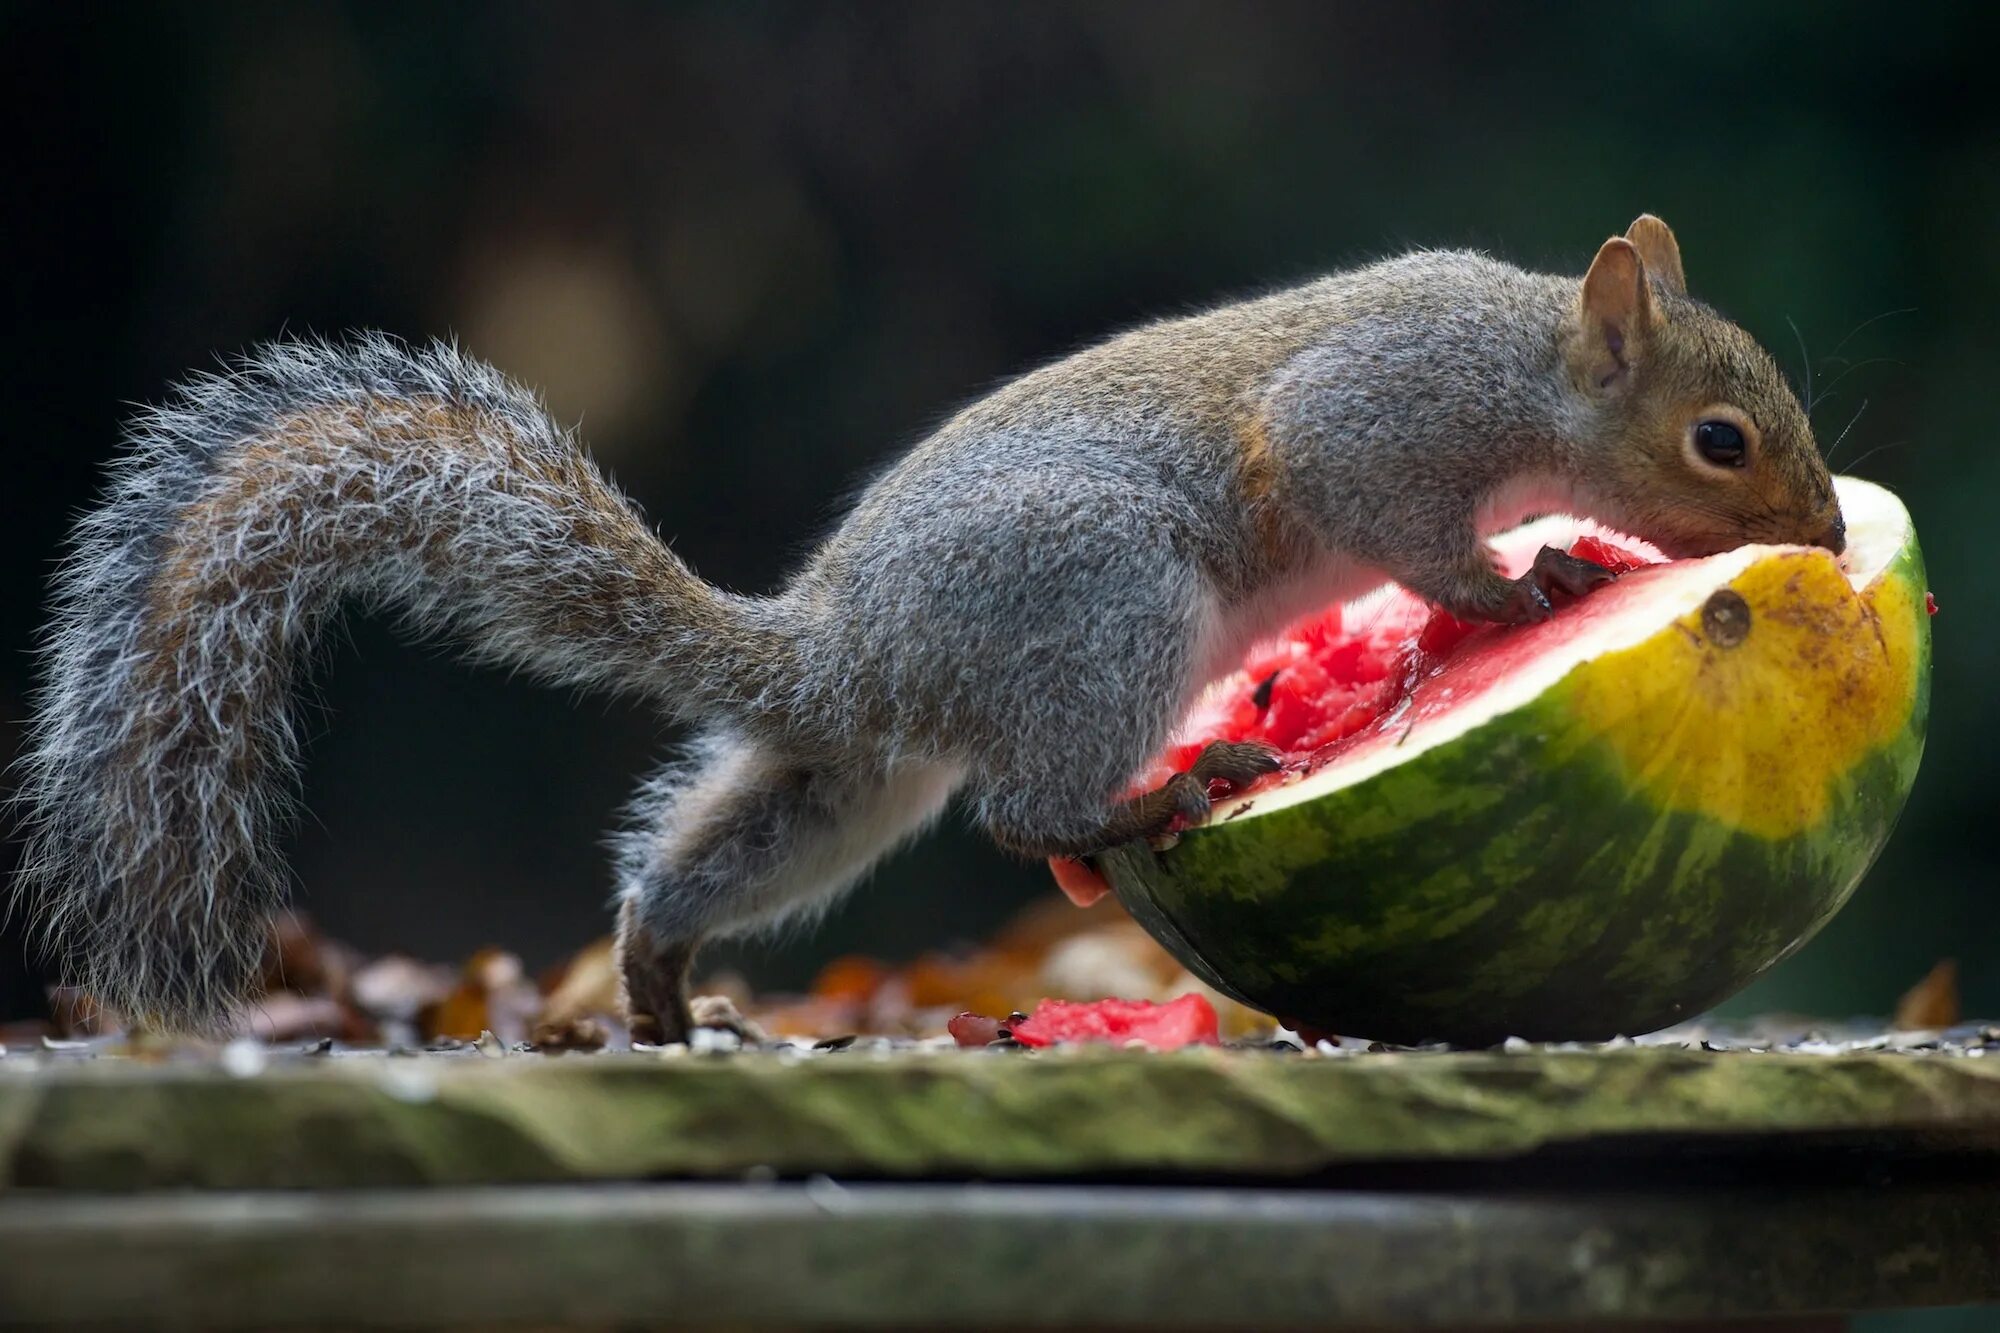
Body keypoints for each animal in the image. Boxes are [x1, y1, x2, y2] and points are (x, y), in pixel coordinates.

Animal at [11, 213, 1840, 1040]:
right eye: (1721, 440)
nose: (1826, 537)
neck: (1534, 364)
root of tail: (839, 643)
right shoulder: (1379, 421)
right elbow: (1387, 511)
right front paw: (1525, 586)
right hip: (1105, 598)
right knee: (1025, 808)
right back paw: (1154, 796)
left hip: (850, 782)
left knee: (724, 853)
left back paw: (658, 980)